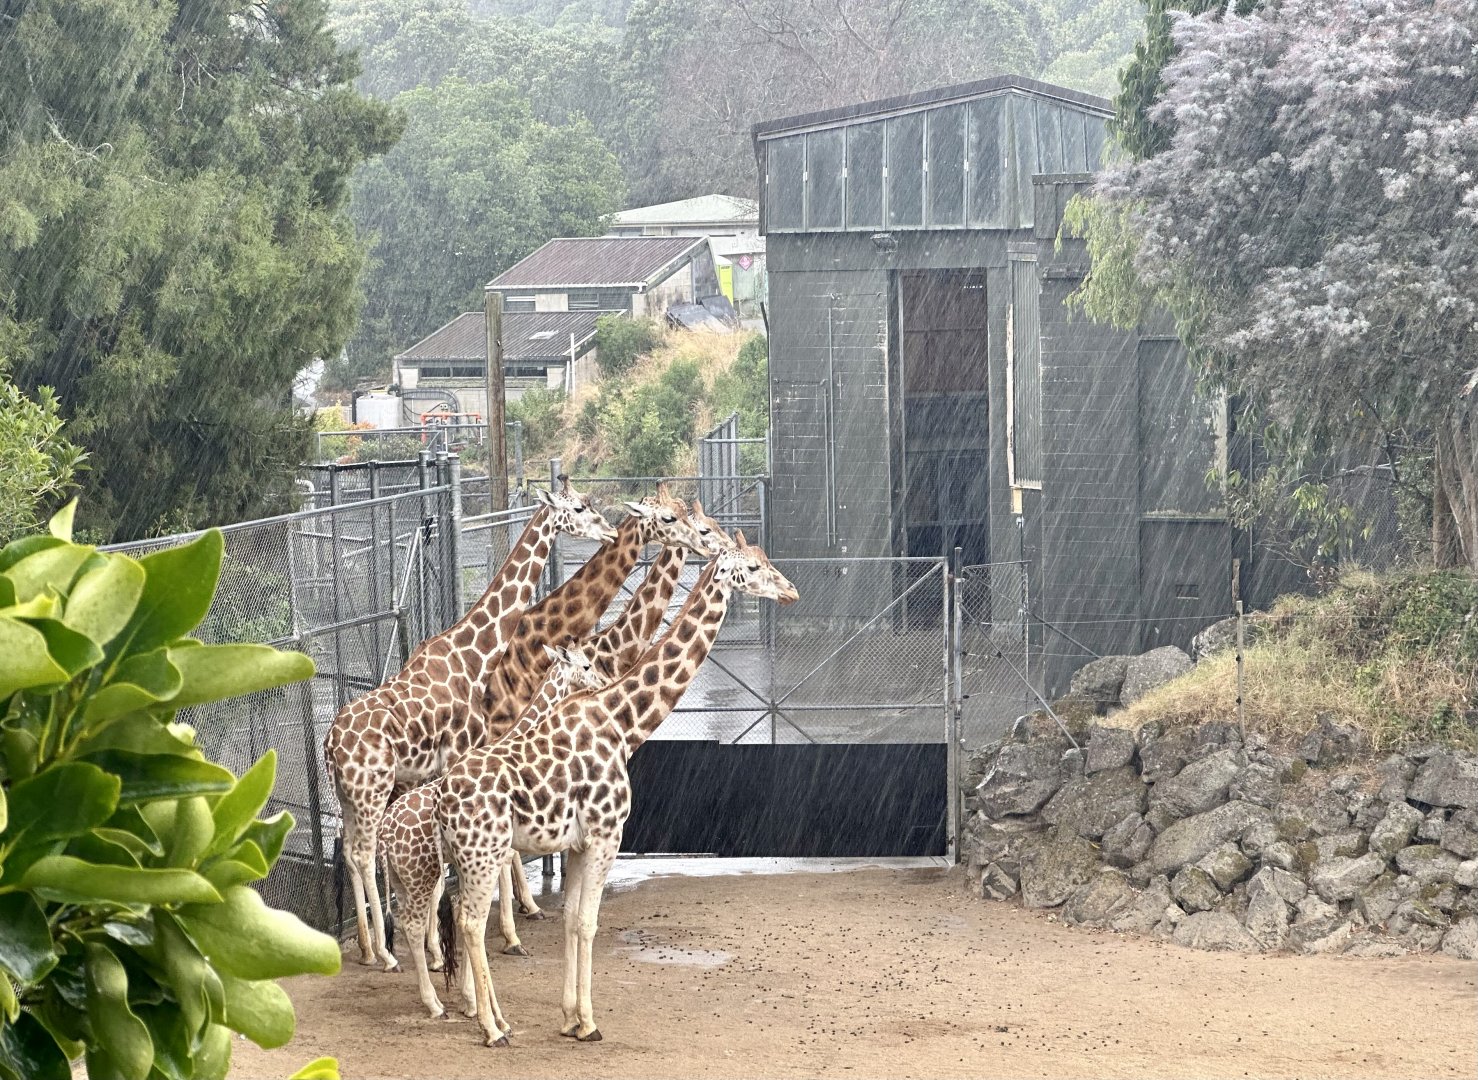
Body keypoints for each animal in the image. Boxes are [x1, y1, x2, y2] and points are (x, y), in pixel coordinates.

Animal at [325, 482, 615, 971]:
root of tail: (328, 745)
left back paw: (366, 946)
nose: (611, 531)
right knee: (364, 853)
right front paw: (486, 939)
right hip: (371, 789)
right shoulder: (458, 755)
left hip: (350, 795)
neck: (474, 656)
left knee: (348, 850)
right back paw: (386, 952)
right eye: (580, 508)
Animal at [377, 642, 607, 1019]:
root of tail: (384, 834)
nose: (602, 682)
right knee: (413, 920)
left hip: (402, 876)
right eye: (586, 665)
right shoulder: (497, 849)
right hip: (421, 872)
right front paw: (509, 947)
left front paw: (470, 997)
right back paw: (434, 1001)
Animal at [437, 534, 798, 1046]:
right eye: (752, 568)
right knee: (470, 919)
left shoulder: (576, 843)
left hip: (466, 856)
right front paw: (589, 1023)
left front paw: (568, 1017)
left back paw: (490, 1014)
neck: (621, 723)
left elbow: (571, 918)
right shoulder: (607, 835)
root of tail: (441, 798)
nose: (791, 591)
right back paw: (492, 1027)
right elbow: (589, 922)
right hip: (483, 853)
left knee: (457, 911)